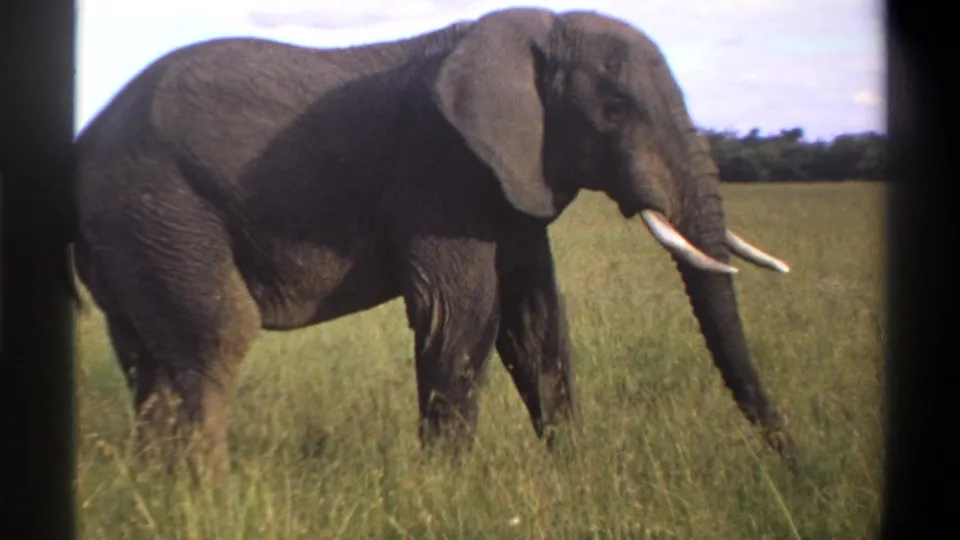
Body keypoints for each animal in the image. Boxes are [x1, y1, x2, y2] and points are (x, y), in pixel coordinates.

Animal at [69, 7, 798, 477]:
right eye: (614, 113)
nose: (792, 463)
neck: (536, 32)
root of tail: (84, 139)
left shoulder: (513, 183)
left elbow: (536, 324)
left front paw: (575, 476)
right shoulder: (440, 171)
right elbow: (462, 314)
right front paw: (448, 494)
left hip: (131, 236)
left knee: (148, 362)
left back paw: (158, 492)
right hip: (161, 210)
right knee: (215, 339)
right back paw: (211, 497)